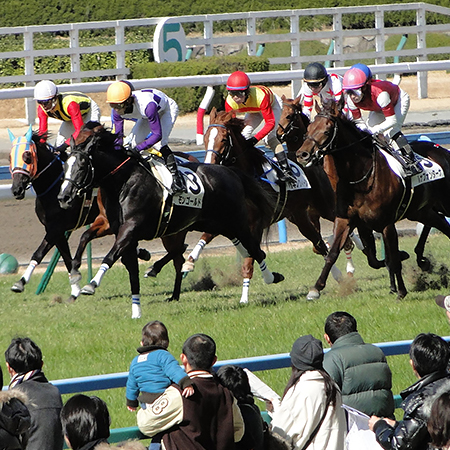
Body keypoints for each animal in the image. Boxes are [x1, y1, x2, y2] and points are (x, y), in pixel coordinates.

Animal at [58, 121, 284, 314]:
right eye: (65, 166)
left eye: (81, 167)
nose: (63, 197)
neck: (123, 181)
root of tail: (232, 173)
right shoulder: (116, 228)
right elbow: (99, 247)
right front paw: (77, 277)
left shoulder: (130, 228)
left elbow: (110, 256)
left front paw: (91, 284)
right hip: (210, 225)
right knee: (189, 255)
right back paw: (174, 292)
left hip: (235, 222)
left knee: (254, 249)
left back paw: (271, 277)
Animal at [298, 101, 450, 298]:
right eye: (308, 128)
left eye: (327, 130)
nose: (302, 155)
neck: (360, 177)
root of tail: (443, 151)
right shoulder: (346, 220)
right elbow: (333, 254)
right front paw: (316, 289)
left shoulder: (386, 223)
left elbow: (392, 259)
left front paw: (401, 291)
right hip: (420, 210)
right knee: (440, 223)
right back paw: (421, 258)